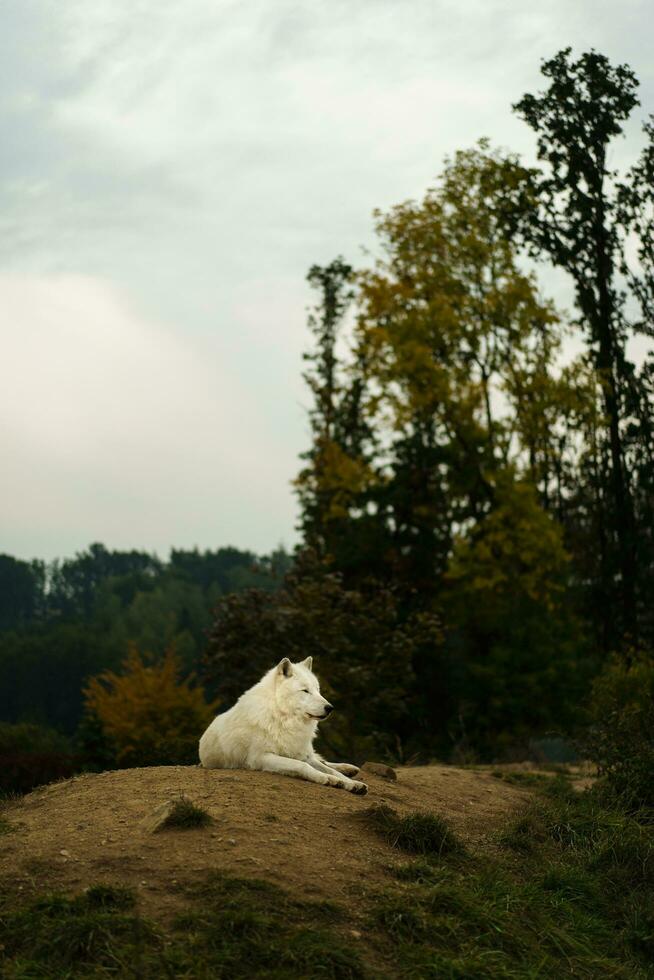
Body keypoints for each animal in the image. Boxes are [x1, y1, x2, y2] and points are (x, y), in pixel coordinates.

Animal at [197, 656, 368, 792]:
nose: (330, 708)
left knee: (322, 760)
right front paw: (328, 779)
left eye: (318, 690)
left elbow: (330, 770)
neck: (283, 718)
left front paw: (352, 783)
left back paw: (349, 768)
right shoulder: (261, 757)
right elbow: (302, 766)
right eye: (305, 691)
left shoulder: (301, 754)